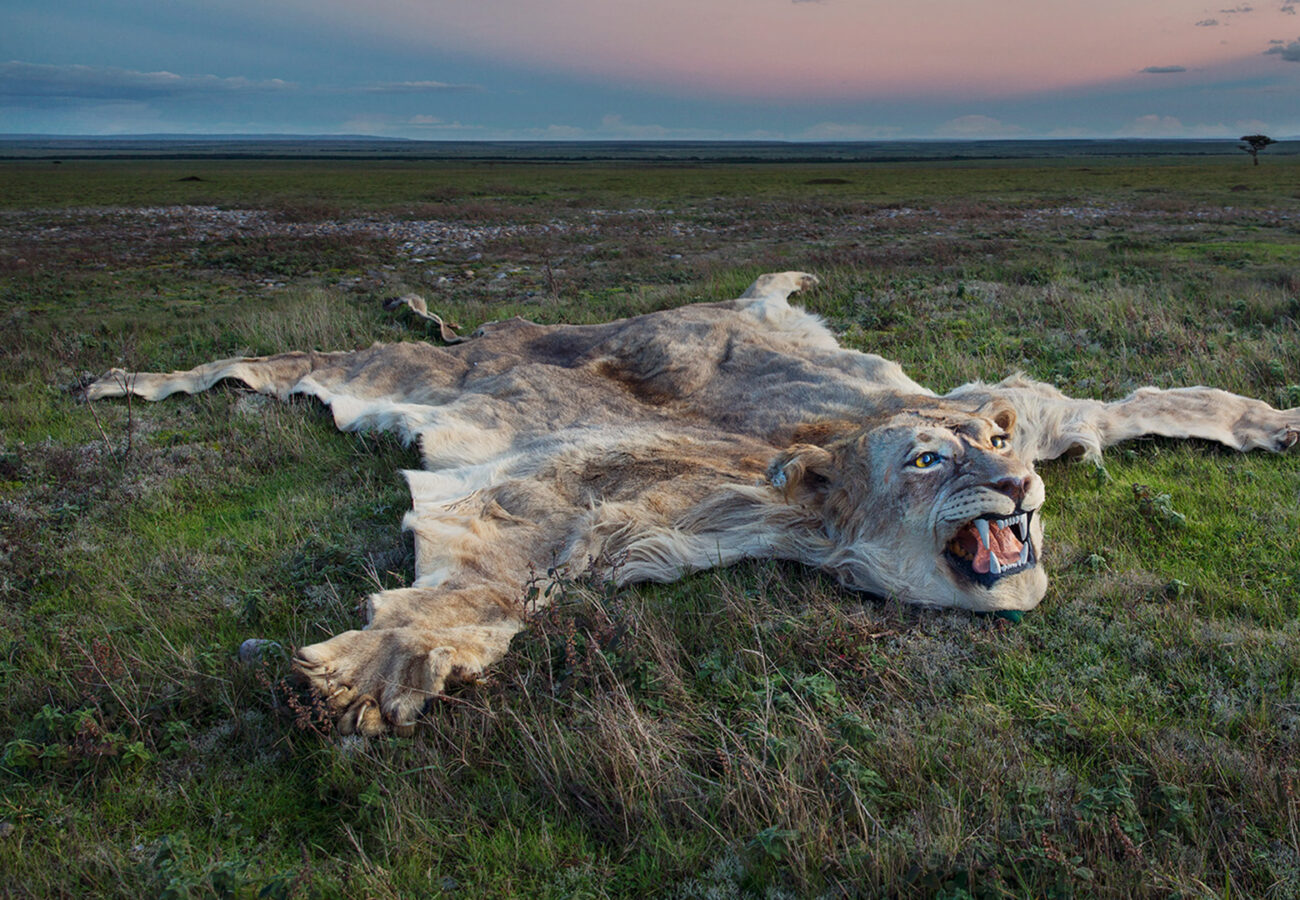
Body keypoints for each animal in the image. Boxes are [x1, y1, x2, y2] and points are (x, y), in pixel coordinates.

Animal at [87, 272, 1300, 735]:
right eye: (925, 464)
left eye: (995, 444)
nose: (1012, 483)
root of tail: (506, 327)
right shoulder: (591, 502)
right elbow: (485, 584)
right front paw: (369, 674)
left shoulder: (1037, 410)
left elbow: (1159, 397)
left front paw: (1276, 419)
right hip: (394, 368)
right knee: (270, 361)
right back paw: (119, 383)